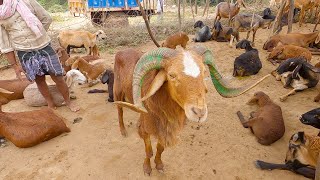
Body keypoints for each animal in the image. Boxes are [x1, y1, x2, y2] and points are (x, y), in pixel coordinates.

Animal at [112, 47, 270, 175]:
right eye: (171, 75)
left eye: (204, 72)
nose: (199, 112)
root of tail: (121, 51)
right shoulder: (145, 128)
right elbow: (149, 151)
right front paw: (147, 169)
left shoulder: (167, 129)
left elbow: (160, 149)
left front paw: (159, 165)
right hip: (117, 91)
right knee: (119, 110)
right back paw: (123, 130)